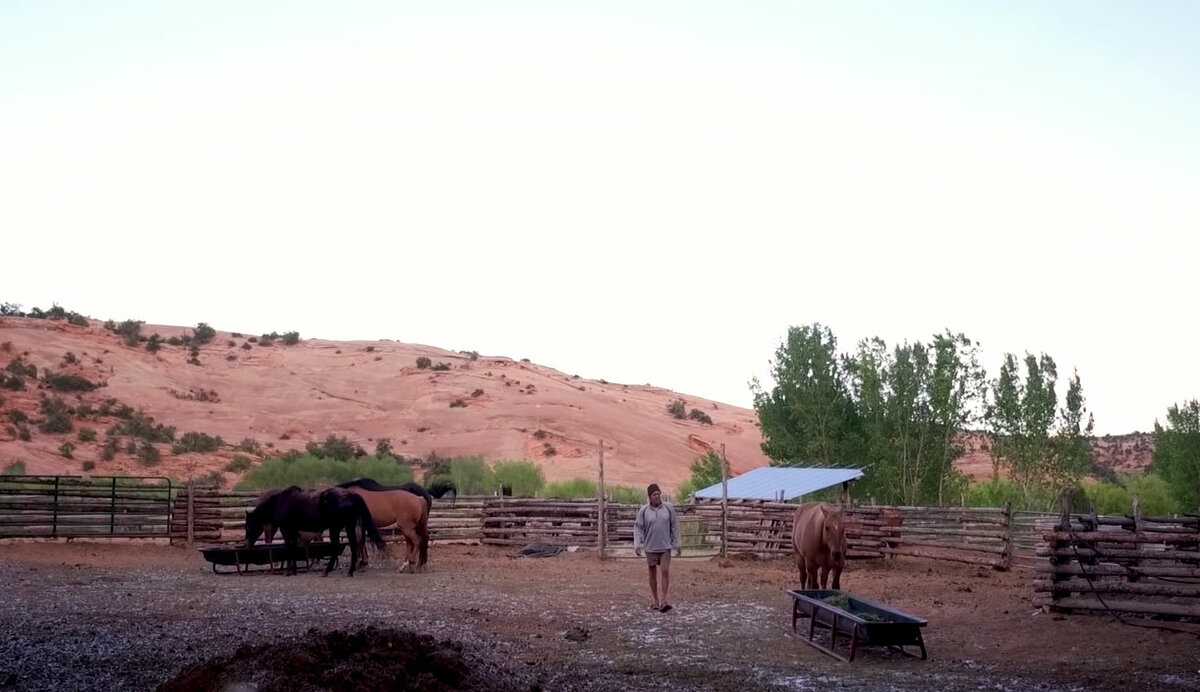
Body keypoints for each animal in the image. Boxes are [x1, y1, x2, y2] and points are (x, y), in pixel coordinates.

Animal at [247, 482, 386, 575]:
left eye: (249, 525)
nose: (247, 543)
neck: (281, 502)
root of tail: (351, 495)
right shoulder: (294, 531)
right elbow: (294, 548)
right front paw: (293, 570)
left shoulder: (287, 529)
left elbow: (290, 548)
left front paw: (289, 571)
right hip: (347, 527)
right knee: (353, 545)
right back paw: (349, 571)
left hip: (336, 528)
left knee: (339, 546)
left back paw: (327, 571)